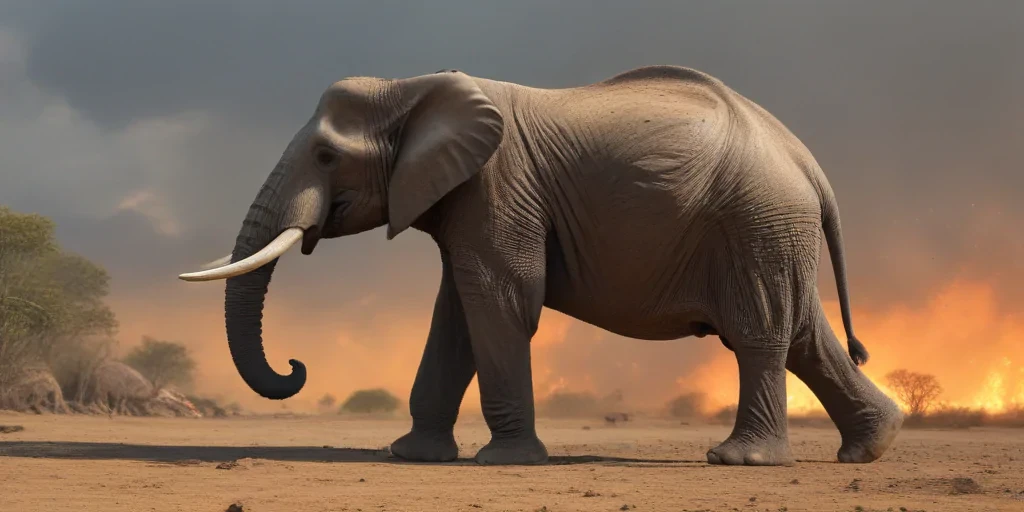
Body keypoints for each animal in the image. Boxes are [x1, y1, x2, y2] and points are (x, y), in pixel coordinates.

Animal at [180, 65, 903, 466]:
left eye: (328, 156)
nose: (295, 365)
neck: (414, 89)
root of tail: (805, 158)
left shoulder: (500, 186)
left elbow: (500, 302)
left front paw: (505, 462)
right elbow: (457, 315)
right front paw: (414, 457)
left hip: (755, 222)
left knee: (759, 335)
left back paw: (739, 461)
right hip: (773, 228)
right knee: (805, 337)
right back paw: (871, 447)